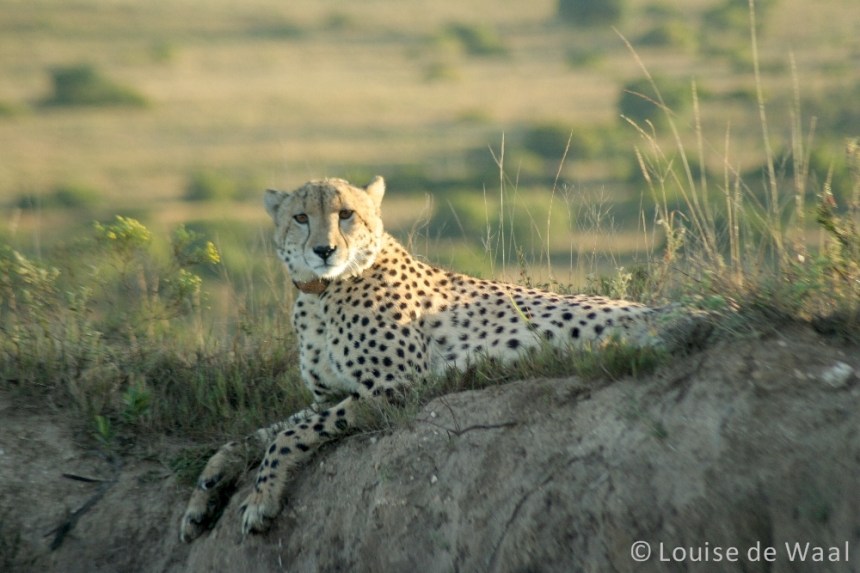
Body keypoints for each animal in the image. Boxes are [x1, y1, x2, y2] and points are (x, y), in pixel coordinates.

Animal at [180, 175, 692, 542]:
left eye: (346, 215)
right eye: (301, 217)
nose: (324, 249)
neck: (324, 292)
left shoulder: (396, 388)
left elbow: (288, 435)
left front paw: (261, 498)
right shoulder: (331, 395)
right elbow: (252, 435)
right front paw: (206, 491)